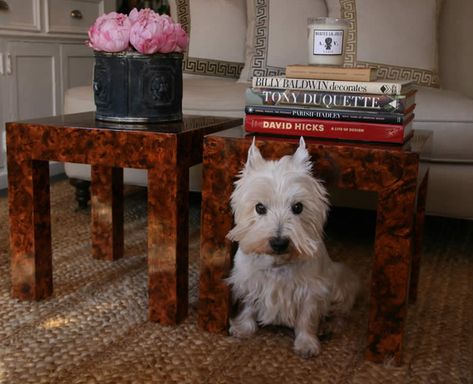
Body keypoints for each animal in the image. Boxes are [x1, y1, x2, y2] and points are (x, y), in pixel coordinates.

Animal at [225, 137, 358, 356]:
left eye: (298, 207)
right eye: (259, 207)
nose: (279, 243)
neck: (278, 263)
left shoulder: (312, 290)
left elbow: (307, 317)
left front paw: (307, 343)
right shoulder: (248, 281)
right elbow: (249, 305)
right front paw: (242, 329)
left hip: (342, 282)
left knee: (341, 311)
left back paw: (329, 327)